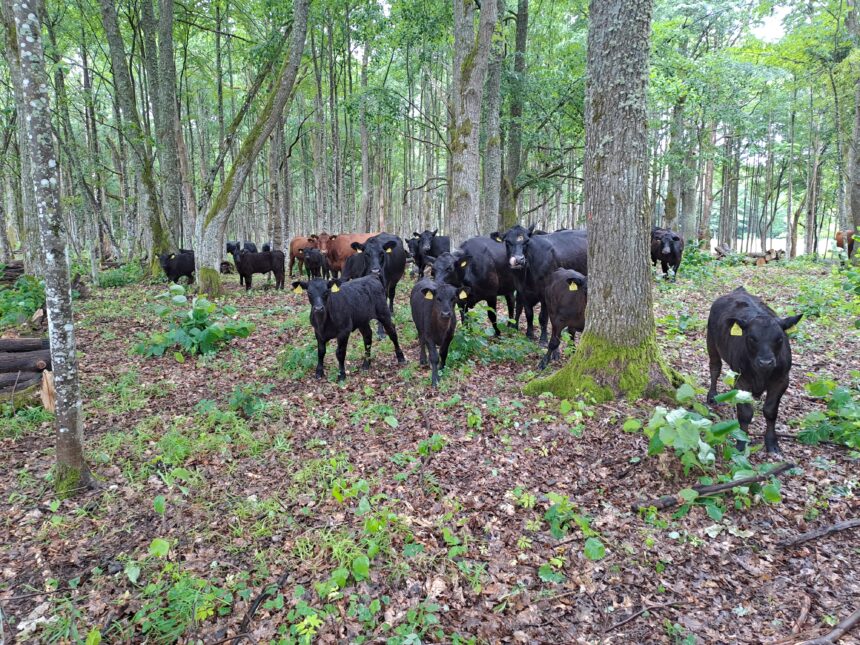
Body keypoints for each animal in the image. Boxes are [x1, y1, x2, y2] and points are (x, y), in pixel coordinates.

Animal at [704, 286, 800, 452]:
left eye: (780, 338)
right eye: (751, 338)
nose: (766, 362)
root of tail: (739, 290)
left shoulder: (782, 380)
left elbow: (770, 411)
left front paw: (772, 442)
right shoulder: (741, 379)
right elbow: (745, 413)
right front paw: (741, 443)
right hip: (711, 340)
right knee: (715, 367)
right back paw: (712, 395)